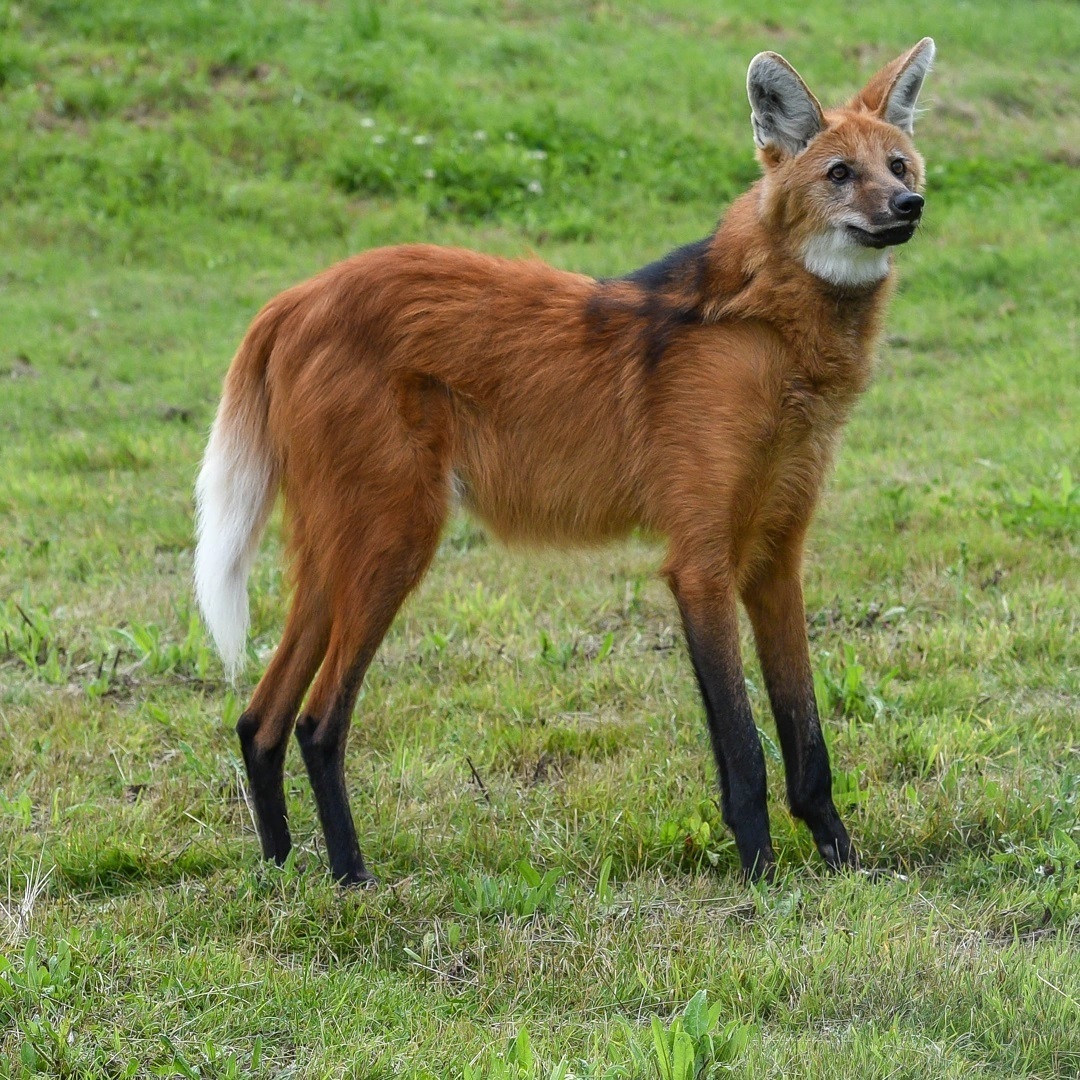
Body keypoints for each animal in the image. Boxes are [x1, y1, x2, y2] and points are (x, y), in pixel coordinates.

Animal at [194, 39, 937, 885]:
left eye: (898, 165)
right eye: (840, 173)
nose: (908, 206)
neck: (772, 335)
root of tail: (293, 298)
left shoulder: (775, 557)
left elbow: (805, 736)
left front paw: (843, 866)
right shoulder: (701, 563)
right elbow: (744, 745)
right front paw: (761, 879)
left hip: (340, 554)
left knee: (259, 718)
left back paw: (282, 873)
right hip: (394, 541)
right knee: (319, 721)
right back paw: (352, 879)